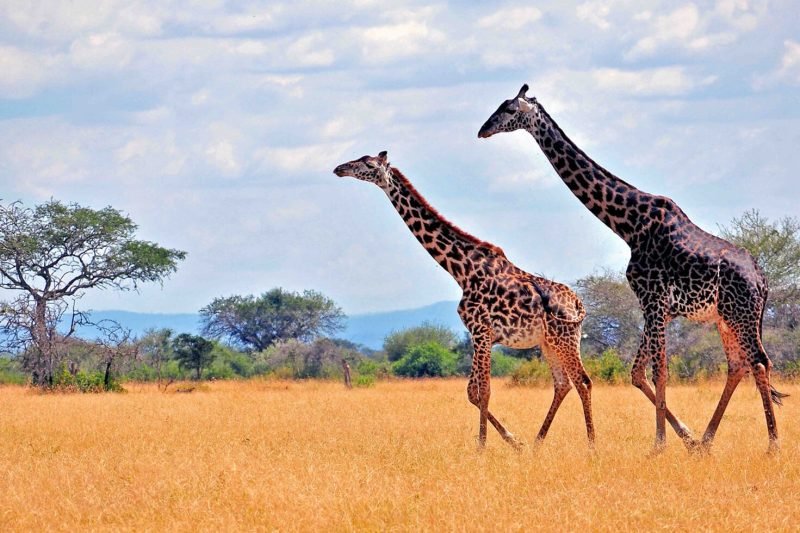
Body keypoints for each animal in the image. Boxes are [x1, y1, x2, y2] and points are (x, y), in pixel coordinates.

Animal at [334, 151, 595, 448]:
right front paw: (514, 442)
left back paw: (591, 446)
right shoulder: (478, 334)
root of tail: (577, 304)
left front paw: (483, 447)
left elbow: (484, 390)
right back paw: (537, 443)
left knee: (583, 382)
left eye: (367, 163)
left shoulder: (481, 331)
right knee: (563, 384)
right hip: (549, 342)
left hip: (565, 339)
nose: (339, 169)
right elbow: (472, 391)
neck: (461, 270)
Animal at [477, 85, 787, 453]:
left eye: (510, 109)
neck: (629, 226)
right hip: (726, 318)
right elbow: (638, 373)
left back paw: (772, 446)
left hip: (739, 314)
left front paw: (659, 445)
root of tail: (762, 280)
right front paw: (686, 438)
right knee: (739, 365)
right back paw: (707, 440)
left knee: (759, 361)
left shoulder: (652, 299)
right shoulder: (659, 308)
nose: (483, 130)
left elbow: (659, 371)